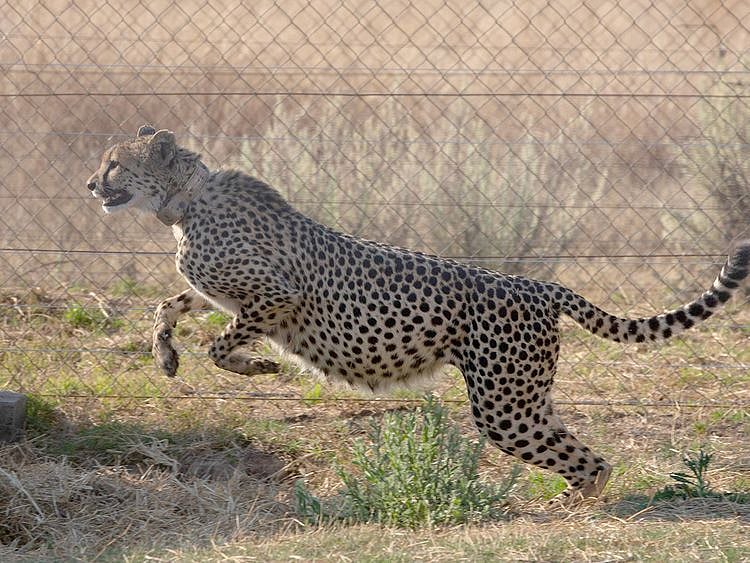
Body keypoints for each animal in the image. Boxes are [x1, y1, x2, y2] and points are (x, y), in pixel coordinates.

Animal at [86, 125, 750, 505]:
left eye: (114, 163)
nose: (92, 184)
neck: (181, 201)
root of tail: (537, 284)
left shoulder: (277, 298)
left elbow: (222, 344)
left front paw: (257, 370)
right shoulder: (223, 294)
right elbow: (168, 305)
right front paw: (165, 356)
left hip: (504, 407)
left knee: (592, 460)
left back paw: (576, 508)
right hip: (526, 398)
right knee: (580, 451)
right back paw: (573, 502)